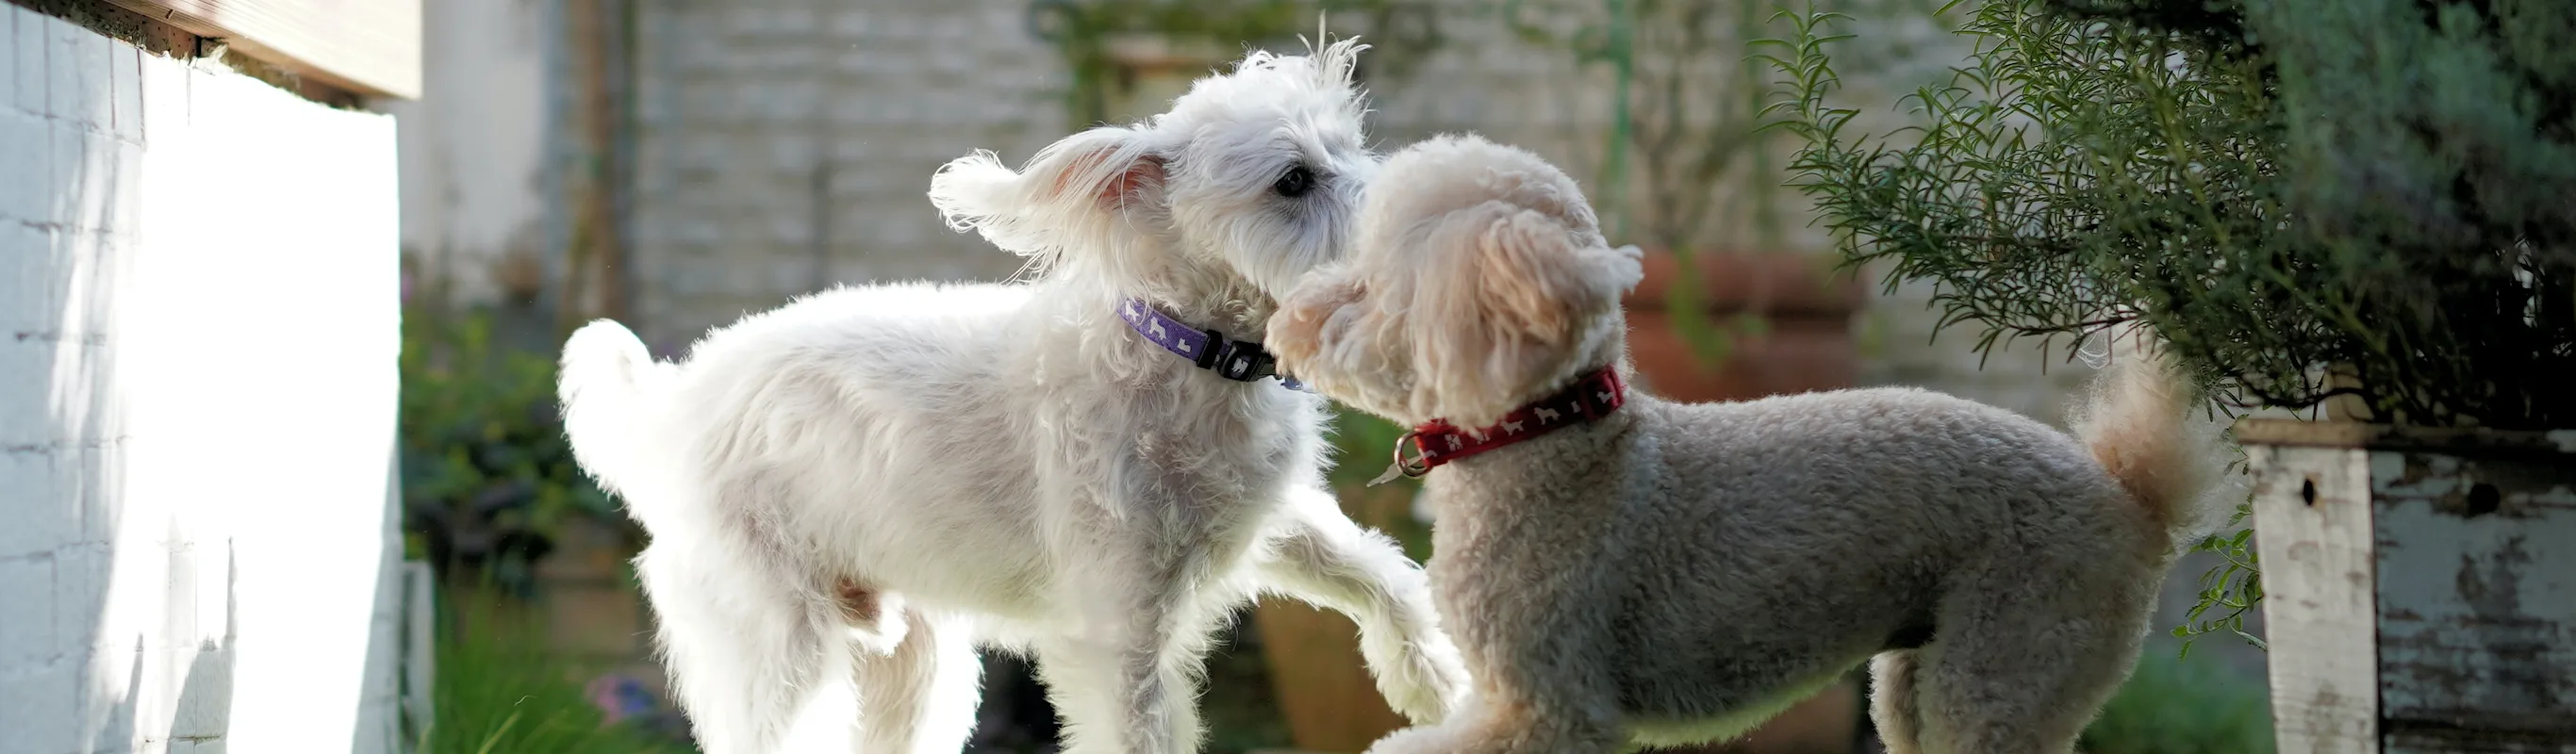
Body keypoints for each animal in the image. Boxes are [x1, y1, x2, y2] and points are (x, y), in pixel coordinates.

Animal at [553, 41, 1462, 751]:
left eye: (1351, 146)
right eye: (1294, 180)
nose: (1420, 206)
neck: (1186, 352)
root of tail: (670, 410)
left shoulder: (1266, 521)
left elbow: (1378, 570)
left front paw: (1433, 681)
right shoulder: (1119, 637)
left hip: (916, 671)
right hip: (778, 651)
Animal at [1262, 135, 2236, 751]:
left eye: (1366, 285)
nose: (1286, 320)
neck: (1551, 439)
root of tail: (2132, 499)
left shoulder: (1547, 705)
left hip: (2014, 657)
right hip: (1922, 684)